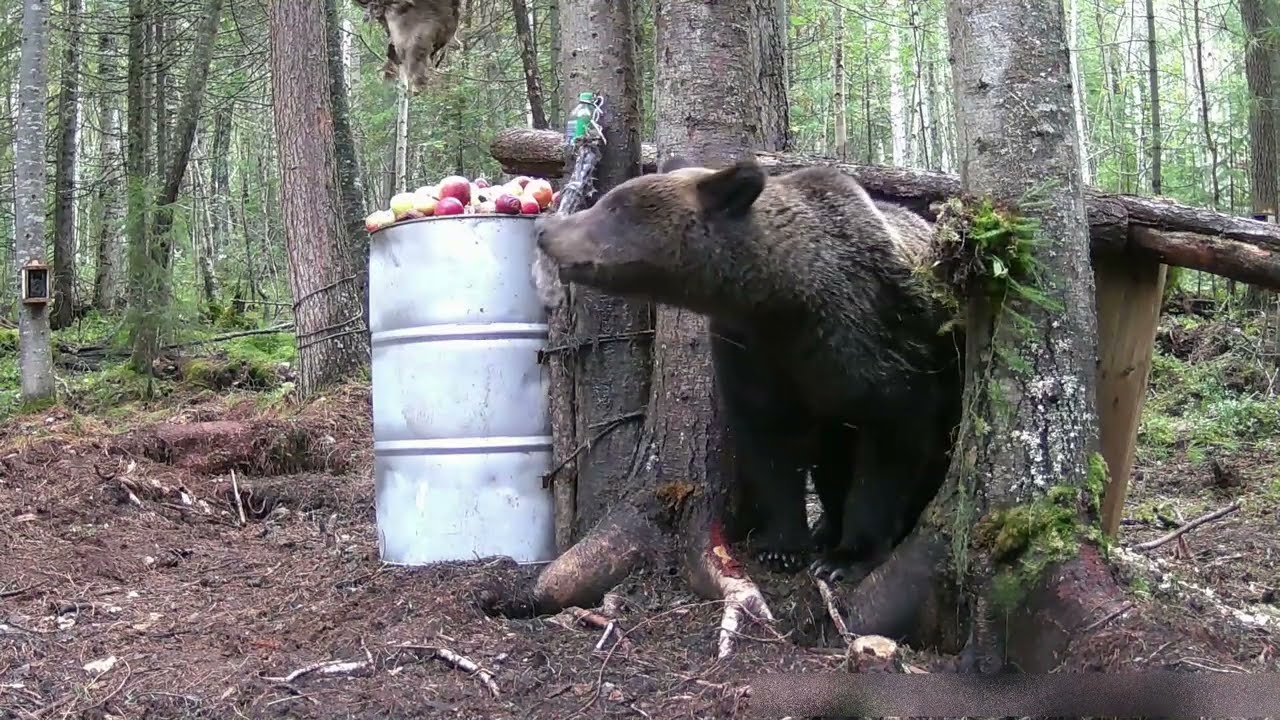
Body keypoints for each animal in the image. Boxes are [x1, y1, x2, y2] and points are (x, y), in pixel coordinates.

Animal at [532, 156, 963, 582]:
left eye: (615, 206)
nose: (544, 228)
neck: (783, 299)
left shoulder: (880, 347)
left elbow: (890, 447)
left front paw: (847, 557)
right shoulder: (749, 351)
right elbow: (770, 447)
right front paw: (783, 545)